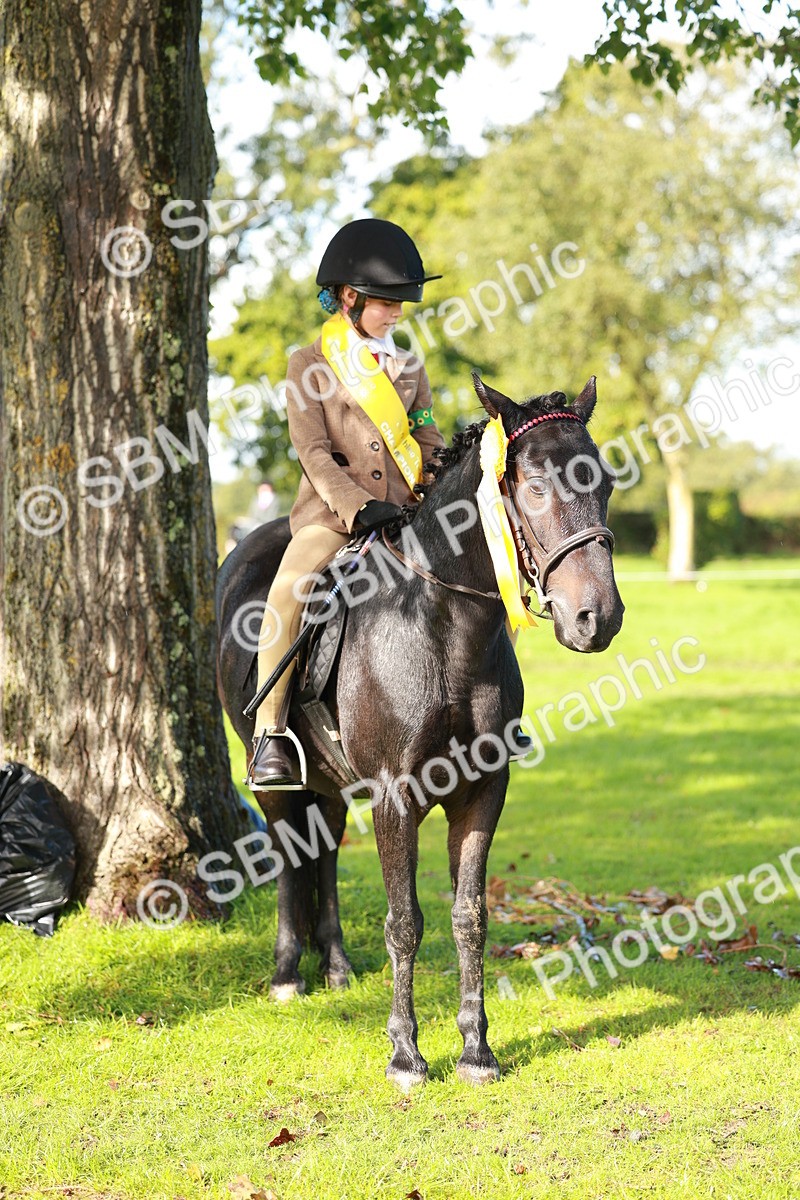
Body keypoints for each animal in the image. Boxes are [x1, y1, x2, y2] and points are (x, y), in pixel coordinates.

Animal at [216, 375, 624, 1087]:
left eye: (601, 482)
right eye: (533, 486)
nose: (595, 617)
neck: (443, 626)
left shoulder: (483, 791)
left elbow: (470, 917)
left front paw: (476, 1049)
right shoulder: (394, 796)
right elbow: (404, 920)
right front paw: (406, 1053)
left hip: (331, 780)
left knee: (323, 845)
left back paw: (336, 966)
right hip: (273, 772)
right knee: (290, 849)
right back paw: (289, 973)